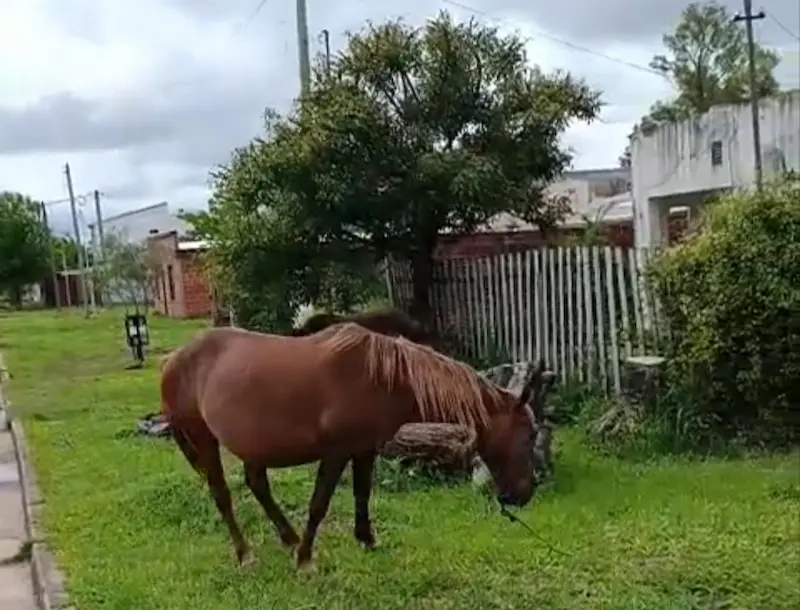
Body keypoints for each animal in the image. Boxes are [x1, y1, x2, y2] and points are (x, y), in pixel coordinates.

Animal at [160, 322, 544, 570]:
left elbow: (362, 494)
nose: (523, 495)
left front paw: (367, 541)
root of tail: (174, 359)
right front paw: (305, 561)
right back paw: (246, 554)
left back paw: (288, 537)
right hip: (205, 440)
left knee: (258, 485)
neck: (383, 376)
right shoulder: (337, 452)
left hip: (255, 445)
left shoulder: (364, 449)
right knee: (222, 496)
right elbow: (319, 504)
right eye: (529, 435)